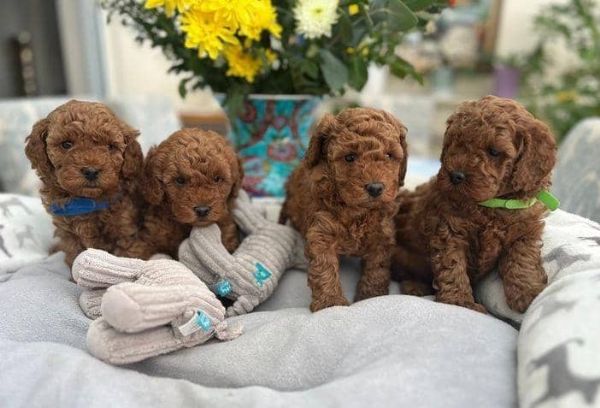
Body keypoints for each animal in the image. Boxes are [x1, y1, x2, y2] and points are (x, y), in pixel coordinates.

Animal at [25, 99, 145, 268]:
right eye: (66, 144)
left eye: (110, 146)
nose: (91, 171)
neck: (87, 201)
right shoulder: (69, 234)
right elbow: (75, 258)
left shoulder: (125, 230)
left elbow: (126, 257)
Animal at [282, 107, 408, 312]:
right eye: (350, 157)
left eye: (389, 156)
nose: (375, 188)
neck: (358, 211)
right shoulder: (322, 231)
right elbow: (324, 268)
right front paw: (330, 302)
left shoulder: (382, 235)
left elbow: (377, 268)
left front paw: (371, 297)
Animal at [394, 95, 556, 312]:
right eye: (456, 143)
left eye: (494, 151)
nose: (455, 176)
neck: (491, 205)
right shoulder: (449, 230)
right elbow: (452, 266)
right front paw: (460, 301)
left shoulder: (525, 231)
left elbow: (523, 260)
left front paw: (529, 294)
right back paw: (414, 287)